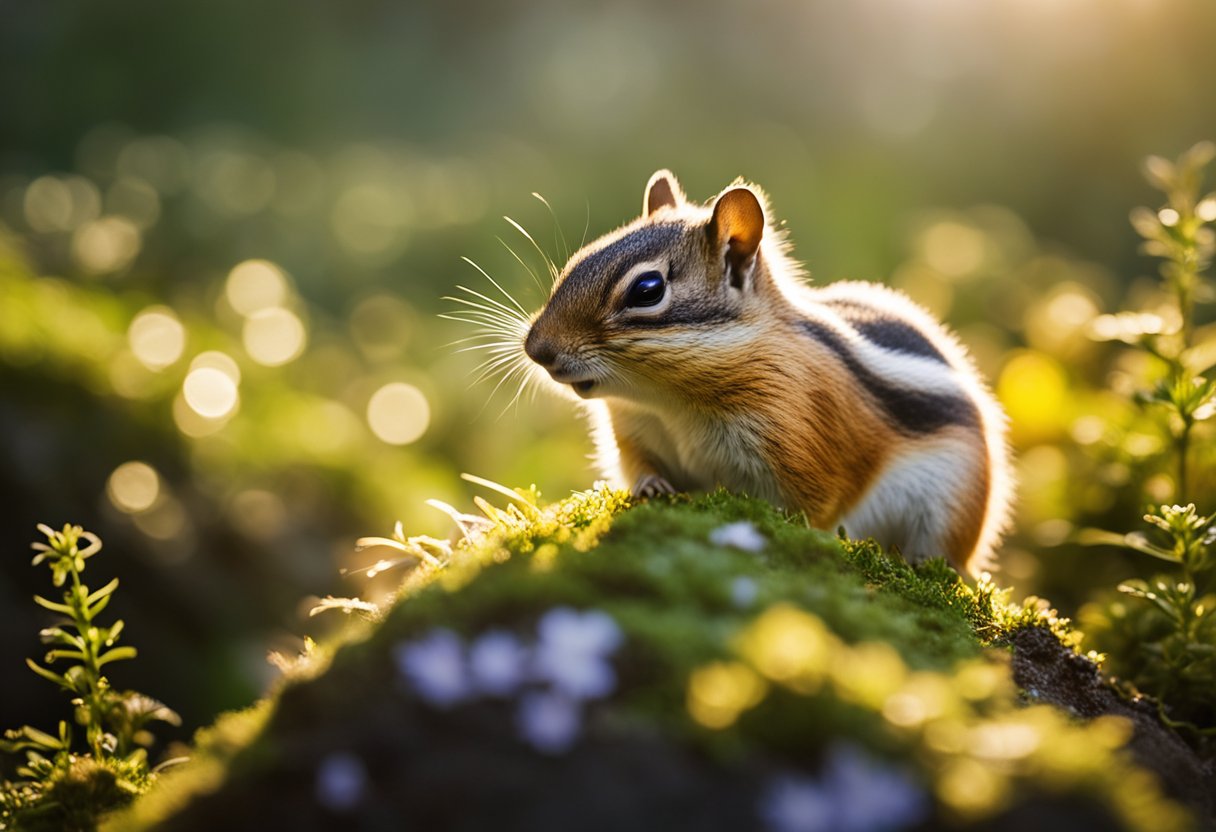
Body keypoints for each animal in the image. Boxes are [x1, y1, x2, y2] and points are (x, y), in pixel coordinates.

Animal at [520, 170, 1012, 576]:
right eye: (579, 260)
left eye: (647, 290)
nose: (535, 348)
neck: (672, 402)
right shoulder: (636, 432)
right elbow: (640, 469)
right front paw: (652, 487)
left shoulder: (808, 449)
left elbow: (814, 510)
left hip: (952, 506)